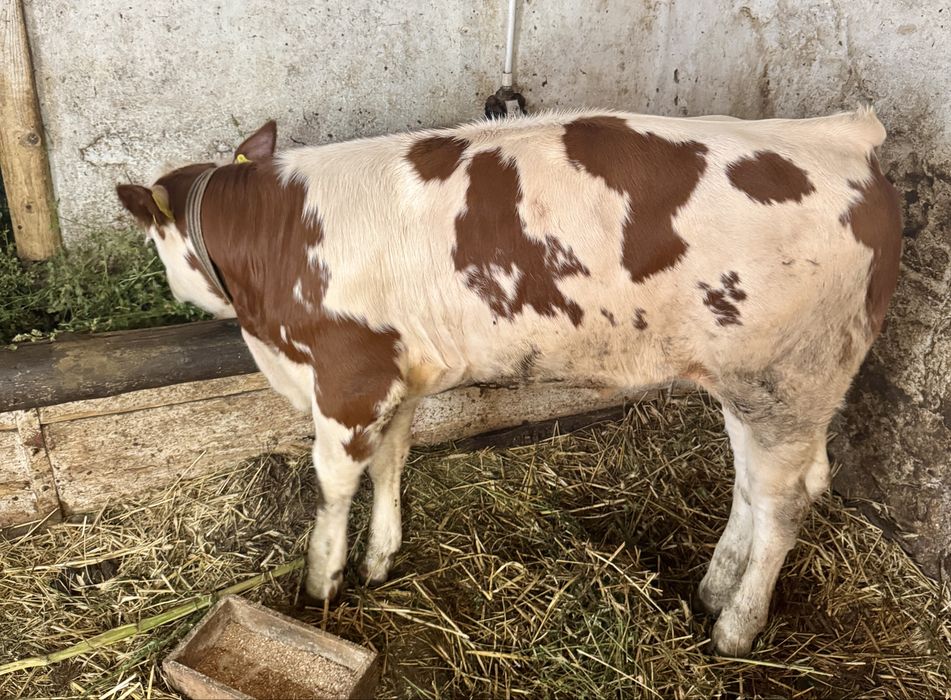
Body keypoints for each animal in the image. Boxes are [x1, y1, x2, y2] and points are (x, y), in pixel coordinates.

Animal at [117, 107, 901, 656]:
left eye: (152, 239)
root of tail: (844, 135)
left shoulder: (349, 376)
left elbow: (335, 486)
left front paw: (319, 585)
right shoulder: (398, 377)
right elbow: (393, 462)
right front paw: (379, 559)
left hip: (785, 379)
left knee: (783, 505)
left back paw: (735, 628)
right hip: (759, 385)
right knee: (758, 488)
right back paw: (711, 590)